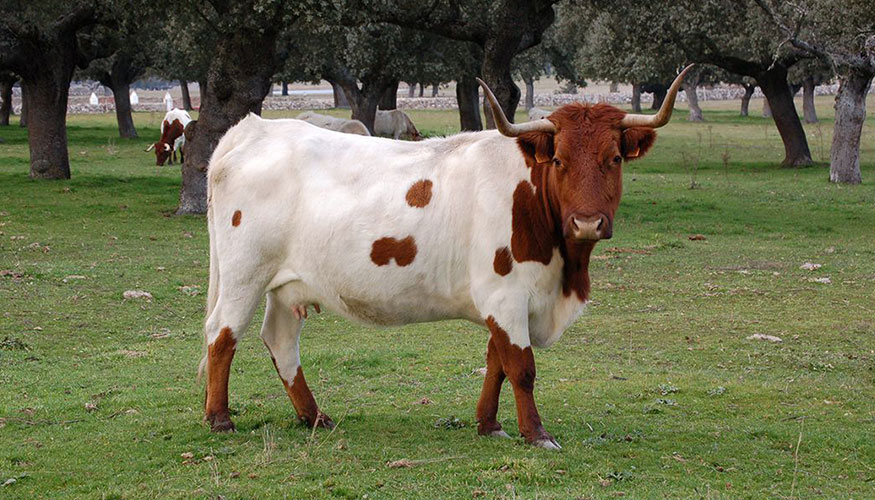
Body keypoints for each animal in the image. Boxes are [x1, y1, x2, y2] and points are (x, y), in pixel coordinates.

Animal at [202, 65, 696, 450]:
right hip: (244, 275)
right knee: (223, 335)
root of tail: (256, 129)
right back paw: (220, 419)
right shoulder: (505, 294)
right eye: (559, 160)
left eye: (614, 158)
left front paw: (490, 425)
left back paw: (314, 417)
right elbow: (521, 367)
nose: (588, 223)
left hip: (287, 286)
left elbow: (497, 362)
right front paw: (536, 434)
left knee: (280, 340)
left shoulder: (506, 299)